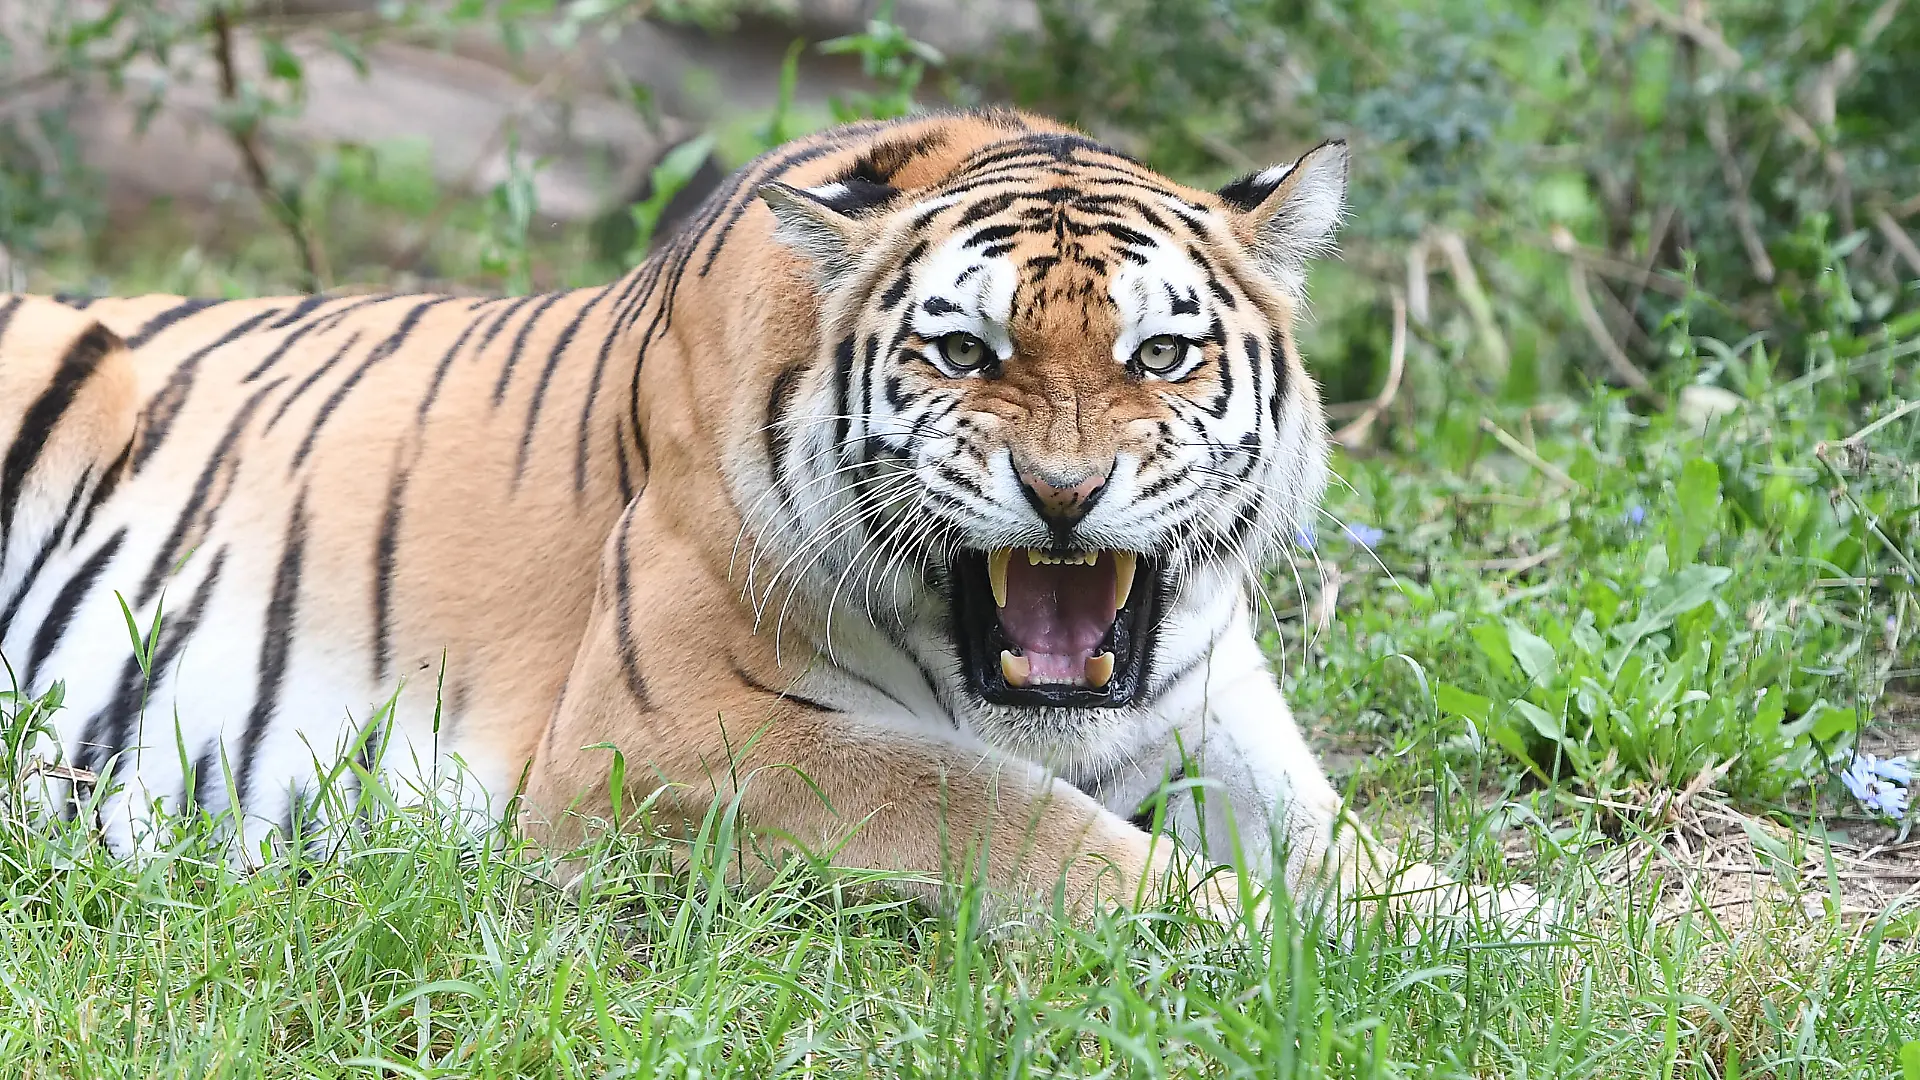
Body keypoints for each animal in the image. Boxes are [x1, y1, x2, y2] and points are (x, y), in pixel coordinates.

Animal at [0, 108, 1524, 921]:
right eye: (962, 351)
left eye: (1160, 354)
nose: (1065, 494)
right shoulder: (669, 737)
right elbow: (1016, 818)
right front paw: (1283, 936)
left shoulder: (1216, 719)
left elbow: (1364, 857)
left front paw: (1511, 927)